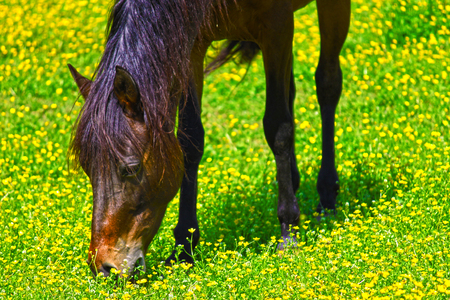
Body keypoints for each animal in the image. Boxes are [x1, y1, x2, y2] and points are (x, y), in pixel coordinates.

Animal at [68, 0, 352, 276]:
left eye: (131, 168)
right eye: (88, 171)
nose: (104, 267)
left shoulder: (277, 28)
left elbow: (278, 127)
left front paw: (288, 233)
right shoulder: (193, 42)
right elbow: (190, 138)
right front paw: (184, 247)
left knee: (327, 83)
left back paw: (327, 197)